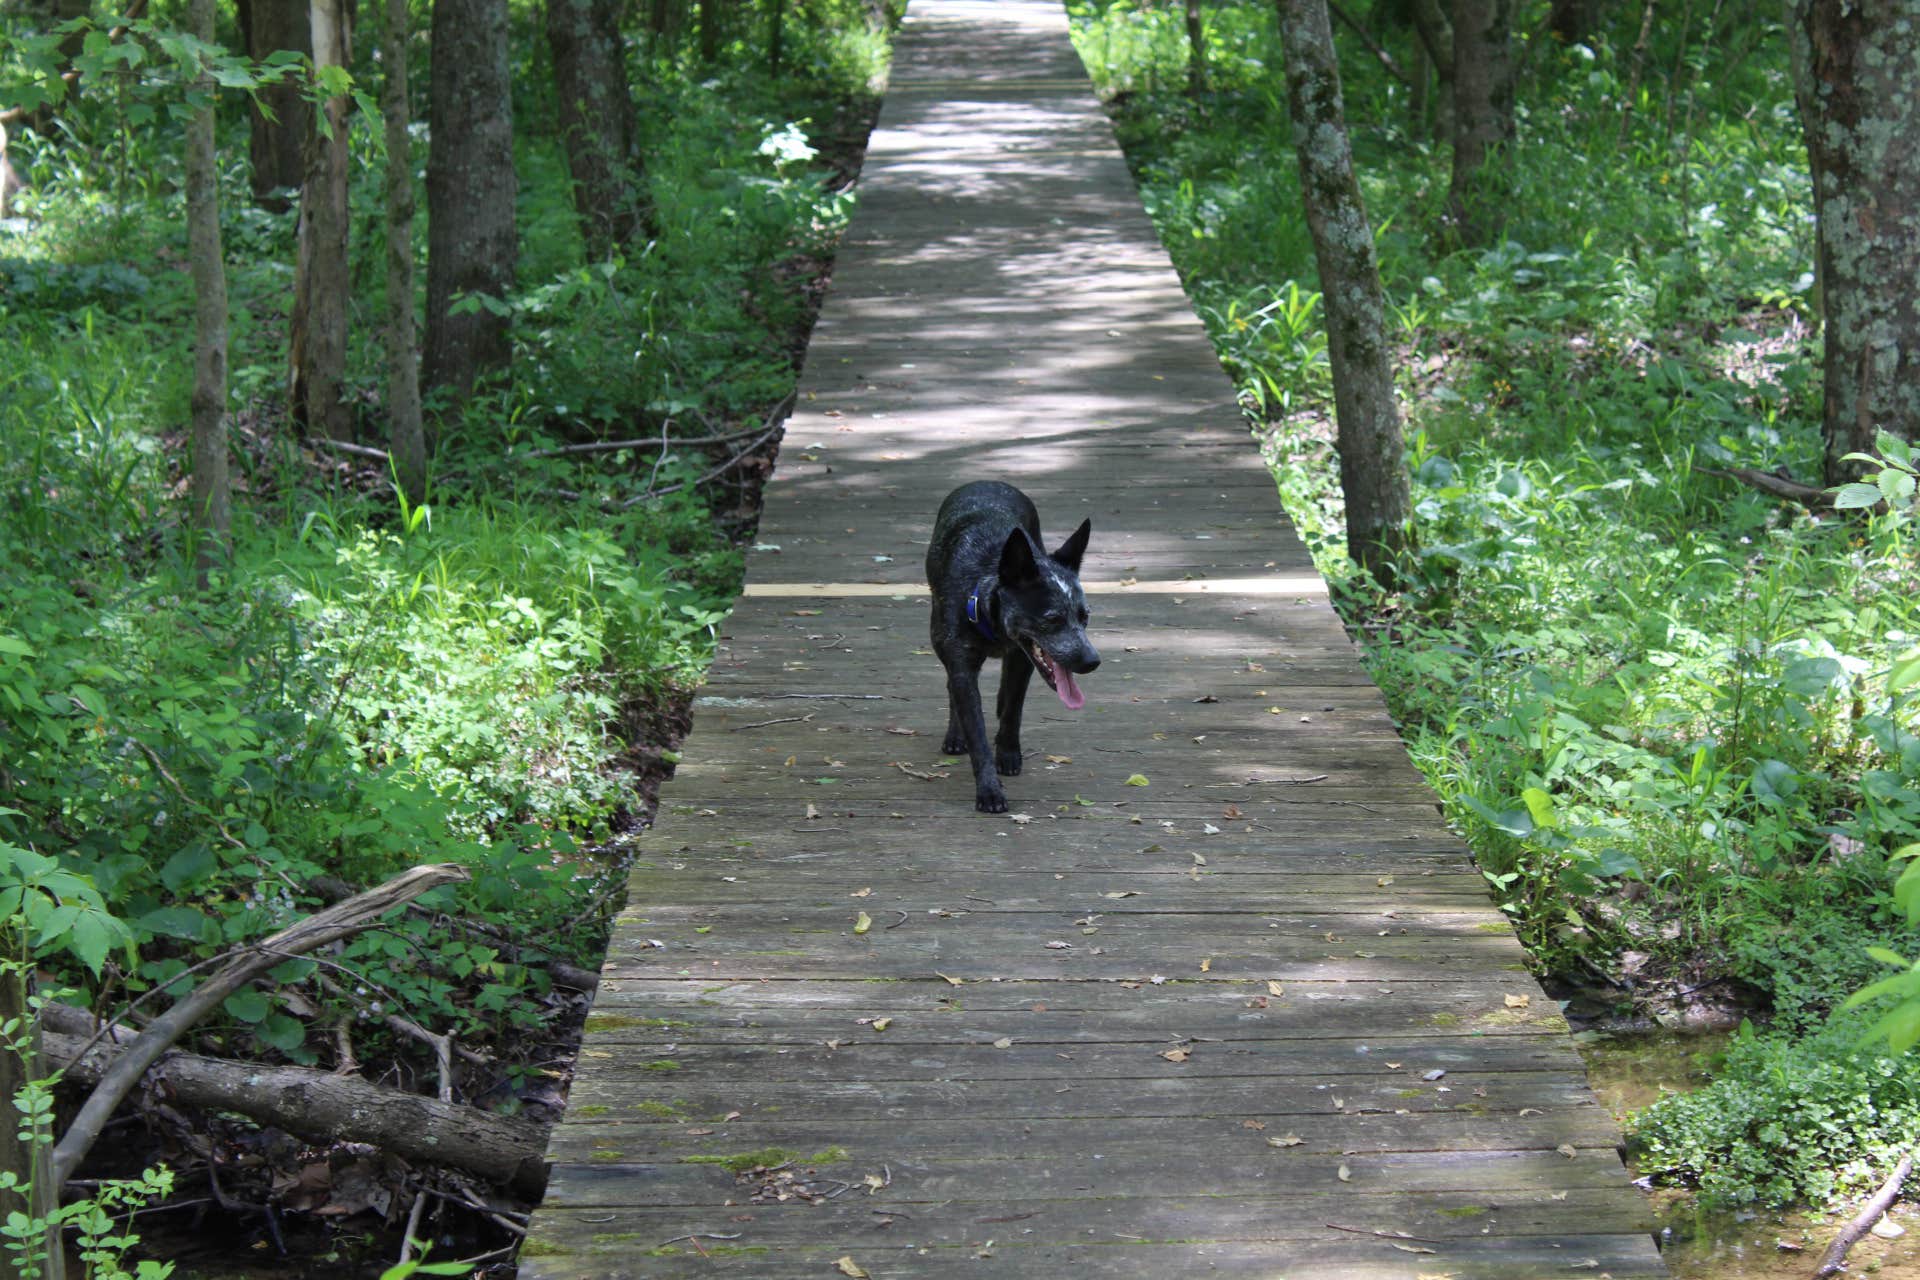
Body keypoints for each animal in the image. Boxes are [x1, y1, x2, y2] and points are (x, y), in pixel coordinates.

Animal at [925, 479, 1105, 809]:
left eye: (1084, 616)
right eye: (1052, 619)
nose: (1092, 661)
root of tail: (986, 481)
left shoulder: (1023, 660)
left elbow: (1013, 709)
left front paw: (1008, 754)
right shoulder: (962, 665)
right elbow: (976, 730)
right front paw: (989, 790)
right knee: (951, 689)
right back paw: (955, 736)